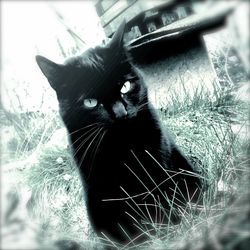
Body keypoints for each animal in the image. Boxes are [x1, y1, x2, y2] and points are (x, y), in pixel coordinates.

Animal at [35, 21, 203, 246]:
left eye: (125, 86)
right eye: (90, 102)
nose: (121, 113)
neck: (123, 147)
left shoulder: (158, 166)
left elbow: (162, 199)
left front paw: (168, 229)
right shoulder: (106, 192)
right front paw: (141, 240)